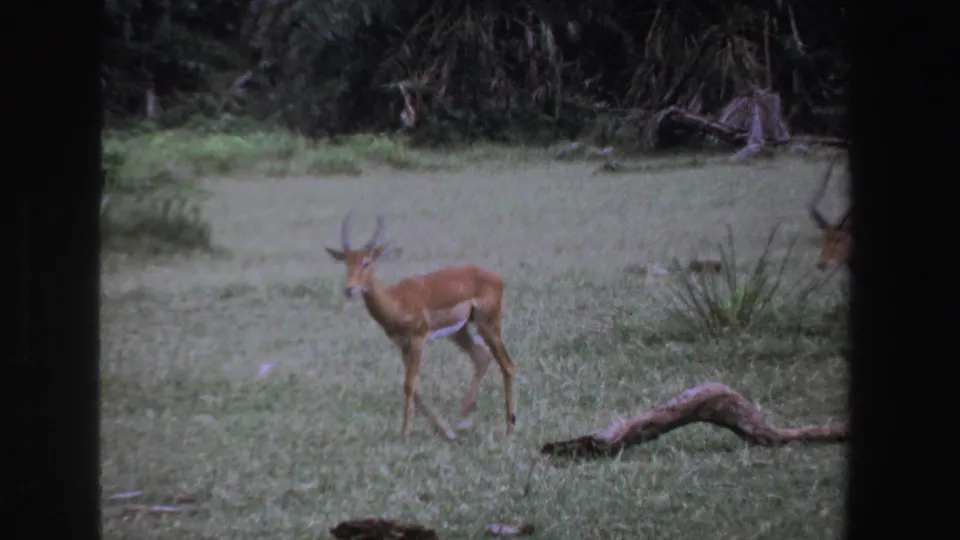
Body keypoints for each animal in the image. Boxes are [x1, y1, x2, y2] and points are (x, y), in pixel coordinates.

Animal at [325, 211, 517, 443]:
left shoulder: (418, 340)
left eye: (366, 262)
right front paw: (444, 430)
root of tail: (497, 279)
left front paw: (405, 434)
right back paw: (462, 421)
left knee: (508, 366)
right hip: (459, 332)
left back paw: (510, 429)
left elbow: (408, 384)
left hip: (488, 326)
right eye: (346, 261)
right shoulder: (402, 345)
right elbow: (416, 387)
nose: (349, 289)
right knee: (481, 357)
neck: (397, 300)